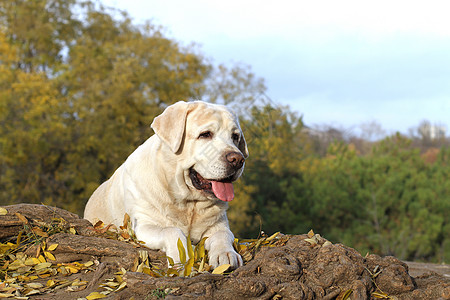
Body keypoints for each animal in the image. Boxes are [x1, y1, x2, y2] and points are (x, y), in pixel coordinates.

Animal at [82, 102, 248, 268]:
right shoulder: (142, 226)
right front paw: (182, 255)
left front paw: (225, 254)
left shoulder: (219, 224)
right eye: (205, 134)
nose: (238, 160)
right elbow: (171, 230)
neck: (188, 203)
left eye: (235, 137)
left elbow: (223, 234)